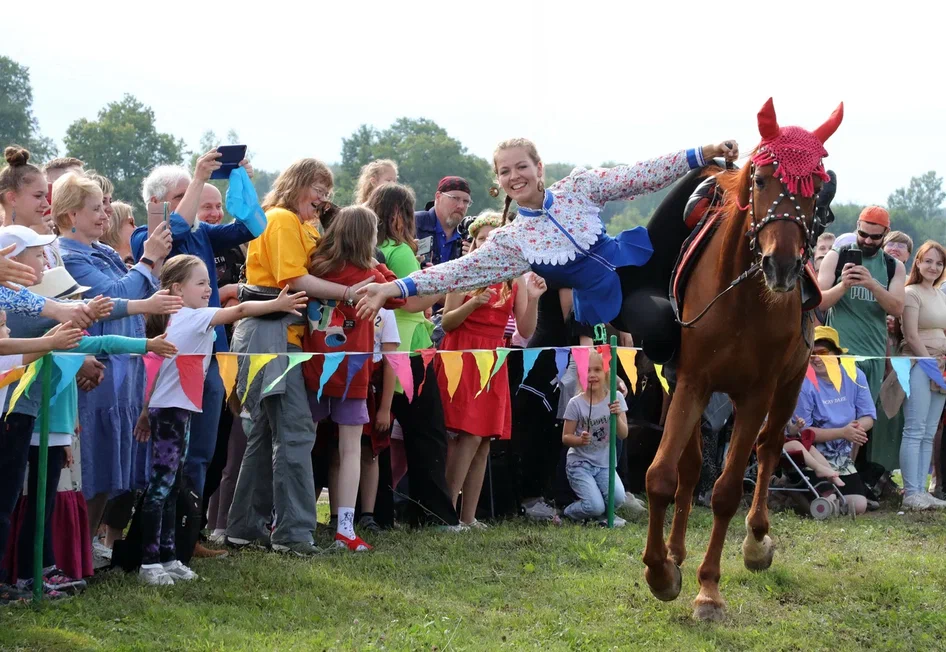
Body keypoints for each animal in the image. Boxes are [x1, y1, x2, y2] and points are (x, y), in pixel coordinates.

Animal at [640, 98, 840, 620]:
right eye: (763, 179)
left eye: (817, 187)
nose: (782, 265)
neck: (743, 298)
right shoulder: (692, 383)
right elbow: (661, 475)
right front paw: (661, 571)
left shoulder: (756, 395)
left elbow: (729, 490)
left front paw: (708, 590)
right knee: (691, 468)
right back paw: (676, 551)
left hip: (788, 385)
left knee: (769, 450)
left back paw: (755, 541)